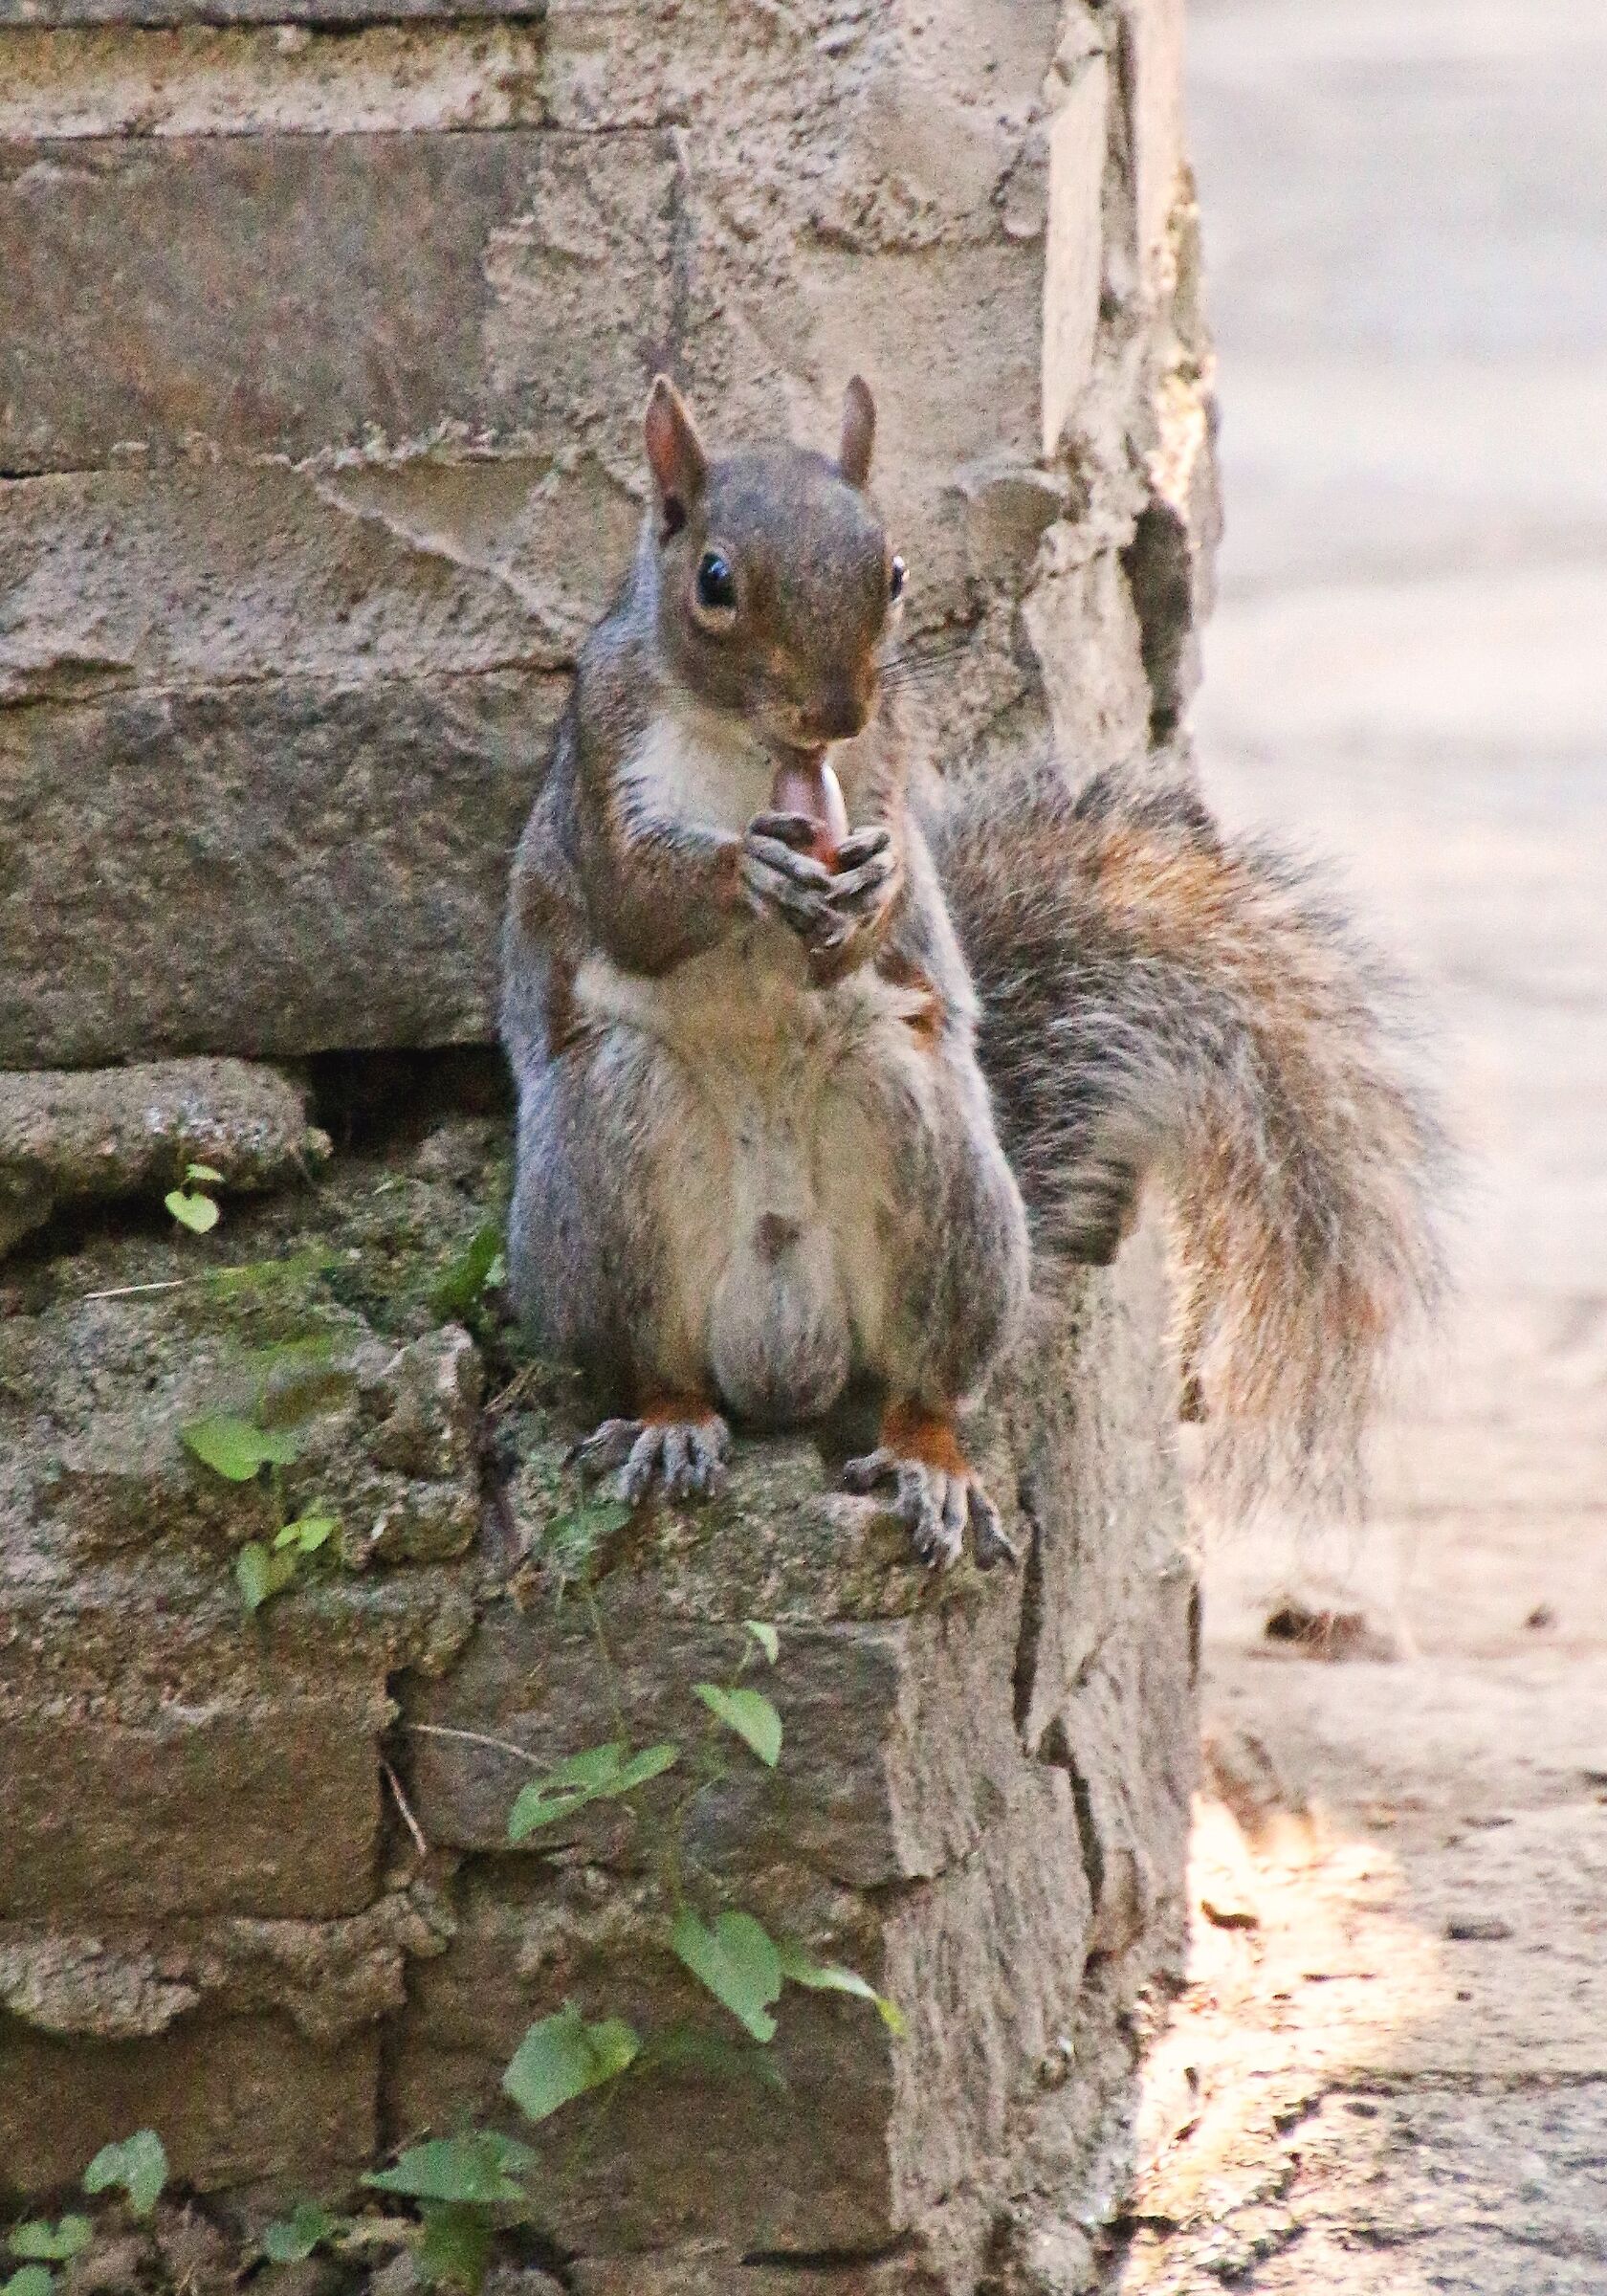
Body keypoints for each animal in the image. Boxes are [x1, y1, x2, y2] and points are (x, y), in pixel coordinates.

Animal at [501, 375, 1445, 1568]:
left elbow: (890, 892)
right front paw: (747, 868)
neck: (749, 748)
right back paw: (672, 1423)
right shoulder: (601, 750)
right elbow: (631, 897)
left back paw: (928, 1463)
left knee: (927, 1384)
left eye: (897, 570)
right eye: (713, 581)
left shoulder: (893, 759)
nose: (838, 711)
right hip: (608, 1179)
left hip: (930, 1163)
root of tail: (783, 1356)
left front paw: (878, 886)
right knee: (652, 1361)